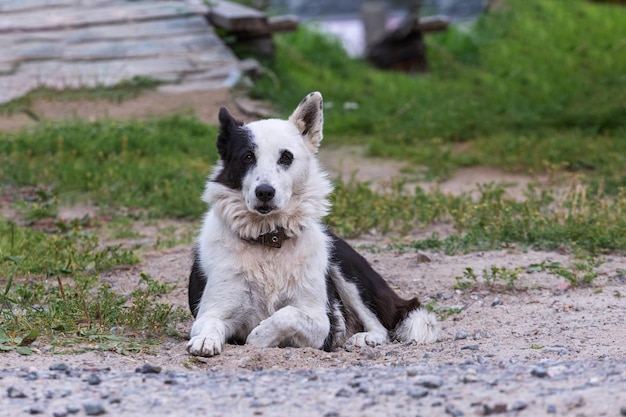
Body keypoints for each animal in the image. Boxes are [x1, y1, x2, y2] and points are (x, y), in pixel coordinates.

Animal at [185, 90, 438, 354]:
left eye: (286, 157)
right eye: (247, 157)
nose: (264, 192)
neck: (269, 240)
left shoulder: (320, 323)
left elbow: (286, 315)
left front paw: (258, 337)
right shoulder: (211, 312)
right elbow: (210, 324)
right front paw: (206, 339)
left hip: (346, 271)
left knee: (380, 325)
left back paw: (365, 338)